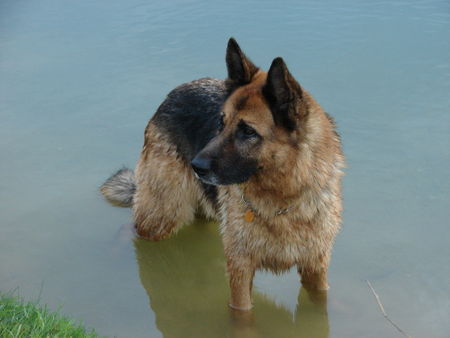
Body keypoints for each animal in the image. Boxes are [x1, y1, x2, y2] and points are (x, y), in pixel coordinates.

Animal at [100, 38, 342, 310]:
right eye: (220, 123)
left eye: (248, 131)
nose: (195, 166)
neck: (283, 201)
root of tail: (174, 92)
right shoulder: (241, 270)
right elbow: (242, 313)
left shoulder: (316, 267)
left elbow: (320, 302)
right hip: (163, 212)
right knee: (133, 224)